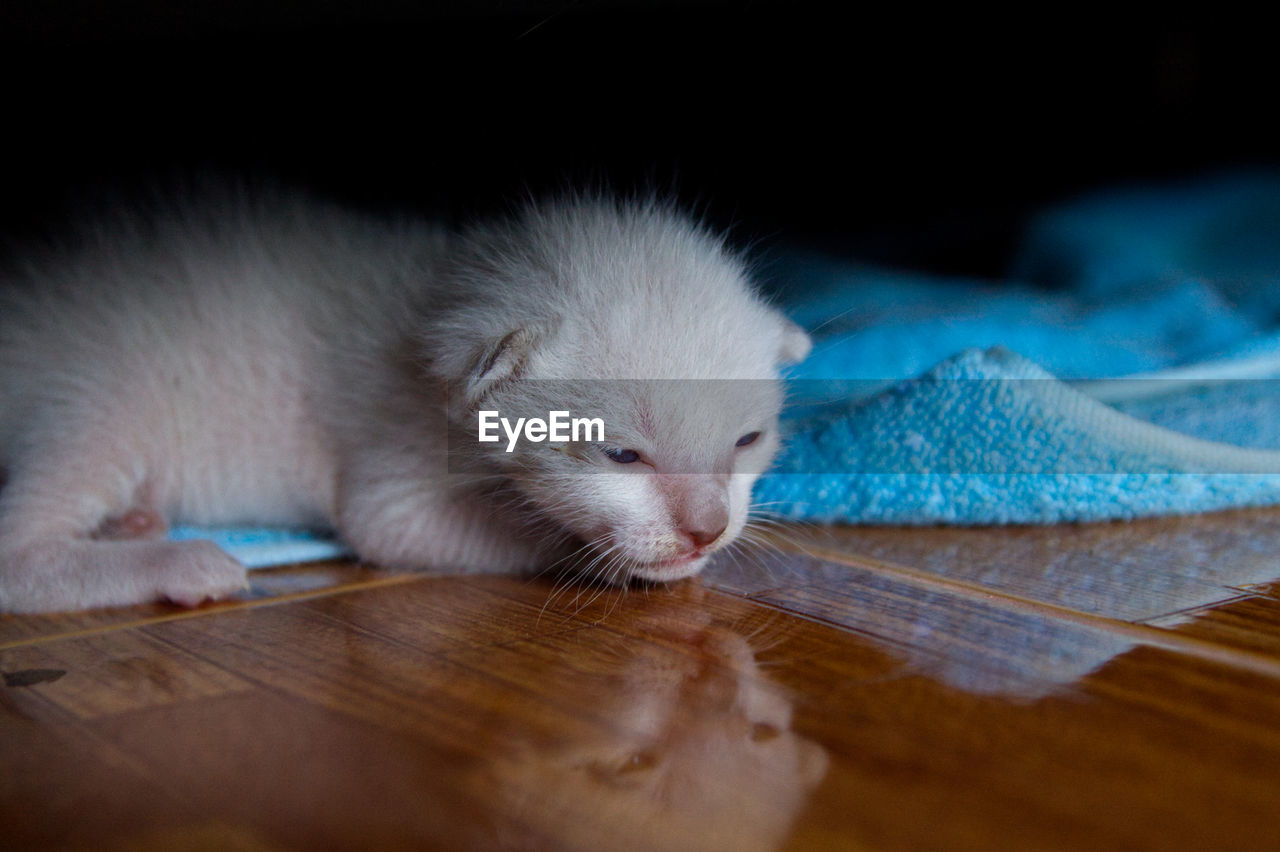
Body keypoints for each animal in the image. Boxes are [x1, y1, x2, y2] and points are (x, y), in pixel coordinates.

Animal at [0, 188, 808, 606]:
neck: (439, 295)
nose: (707, 530)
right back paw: (181, 563)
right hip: (101, 396)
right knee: (17, 551)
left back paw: (135, 524)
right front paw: (596, 556)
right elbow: (395, 524)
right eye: (622, 456)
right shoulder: (393, 455)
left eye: (748, 441)